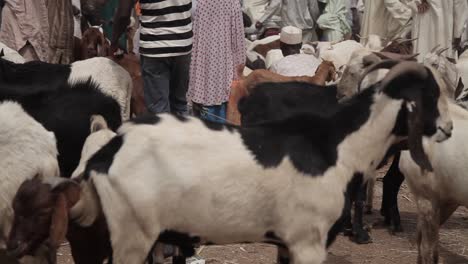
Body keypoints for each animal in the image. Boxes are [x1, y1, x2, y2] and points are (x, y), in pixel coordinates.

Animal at [8, 60, 454, 264]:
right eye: (429, 96)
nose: (450, 128)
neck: (340, 146)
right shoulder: (309, 240)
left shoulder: (289, 242)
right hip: (131, 235)